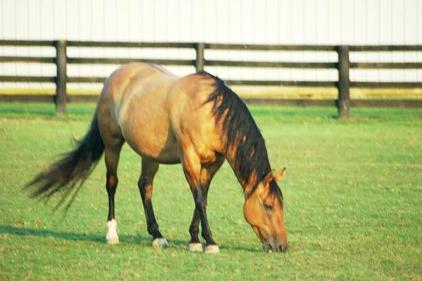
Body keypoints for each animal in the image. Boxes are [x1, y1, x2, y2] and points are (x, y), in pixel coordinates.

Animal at [27, 62, 286, 253]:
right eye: (268, 205)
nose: (282, 246)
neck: (209, 112)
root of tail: (114, 76)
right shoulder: (189, 159)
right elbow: (199, 199)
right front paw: (209, 242)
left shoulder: (213, 164)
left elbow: (201, 197)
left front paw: (194, 239)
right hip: (112, 145)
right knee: (112, 184)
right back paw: (112, 233)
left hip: (149, 155)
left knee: (145, 186)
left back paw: (157, 235)